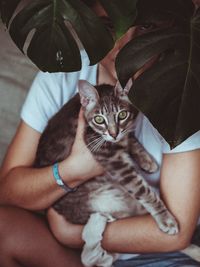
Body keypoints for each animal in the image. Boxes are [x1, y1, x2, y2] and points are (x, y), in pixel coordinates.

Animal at [34, 80, 178, 267]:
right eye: (99, 119)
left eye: (122, 115)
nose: (113, 133)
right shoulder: (114, 162)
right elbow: (144, 192)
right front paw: (165, 219)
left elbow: (130, 139)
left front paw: (146, 160)